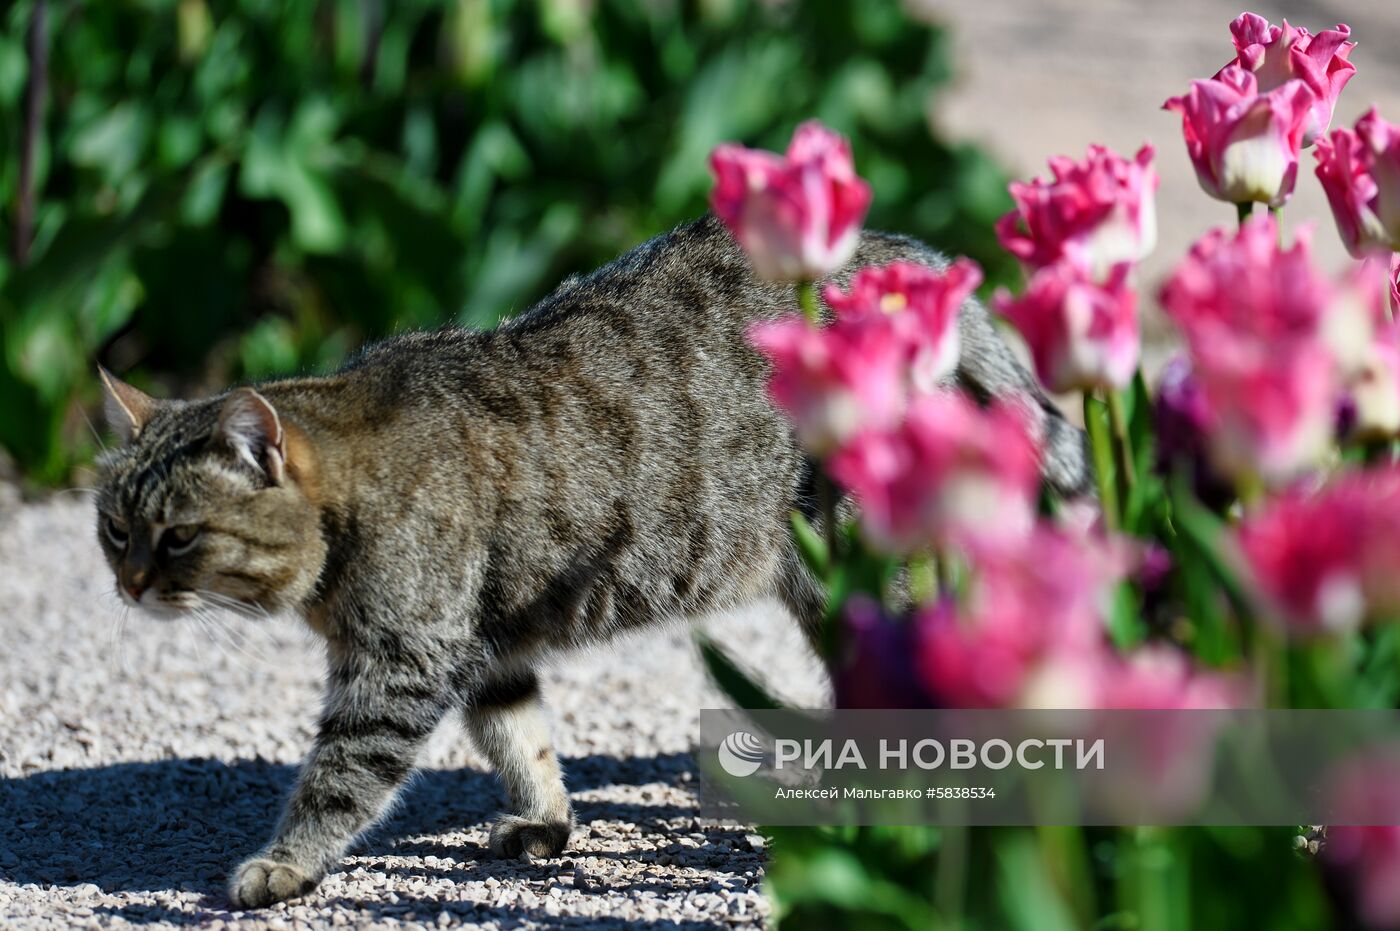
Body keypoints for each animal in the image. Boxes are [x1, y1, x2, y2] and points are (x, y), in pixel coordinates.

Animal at [93, 214, 1092, 901]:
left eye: (177, 535)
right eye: (112, 527)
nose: (127, 583)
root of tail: (895, 257)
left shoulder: (400, 664)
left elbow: (339, 779)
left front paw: (283, 862)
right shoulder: (484, 648)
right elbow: (519, 736)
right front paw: (547, 818)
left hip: (858, 568)